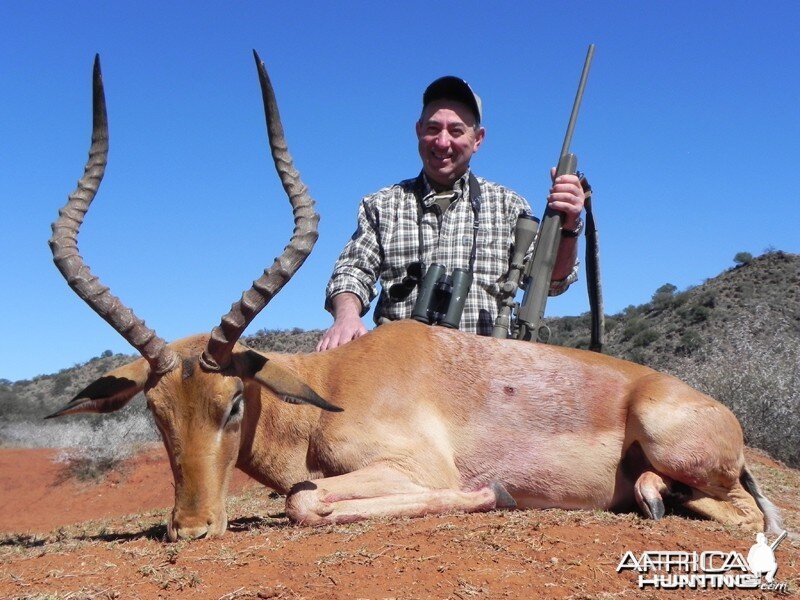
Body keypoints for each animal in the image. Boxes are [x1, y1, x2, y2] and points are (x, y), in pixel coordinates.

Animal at [47, 52, 780, 540]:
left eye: (232, 404)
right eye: (156, 412)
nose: (192, 528)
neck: (332, 387)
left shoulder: (420, 469)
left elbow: (304, 500)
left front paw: (494, 495)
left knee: (751, 513)